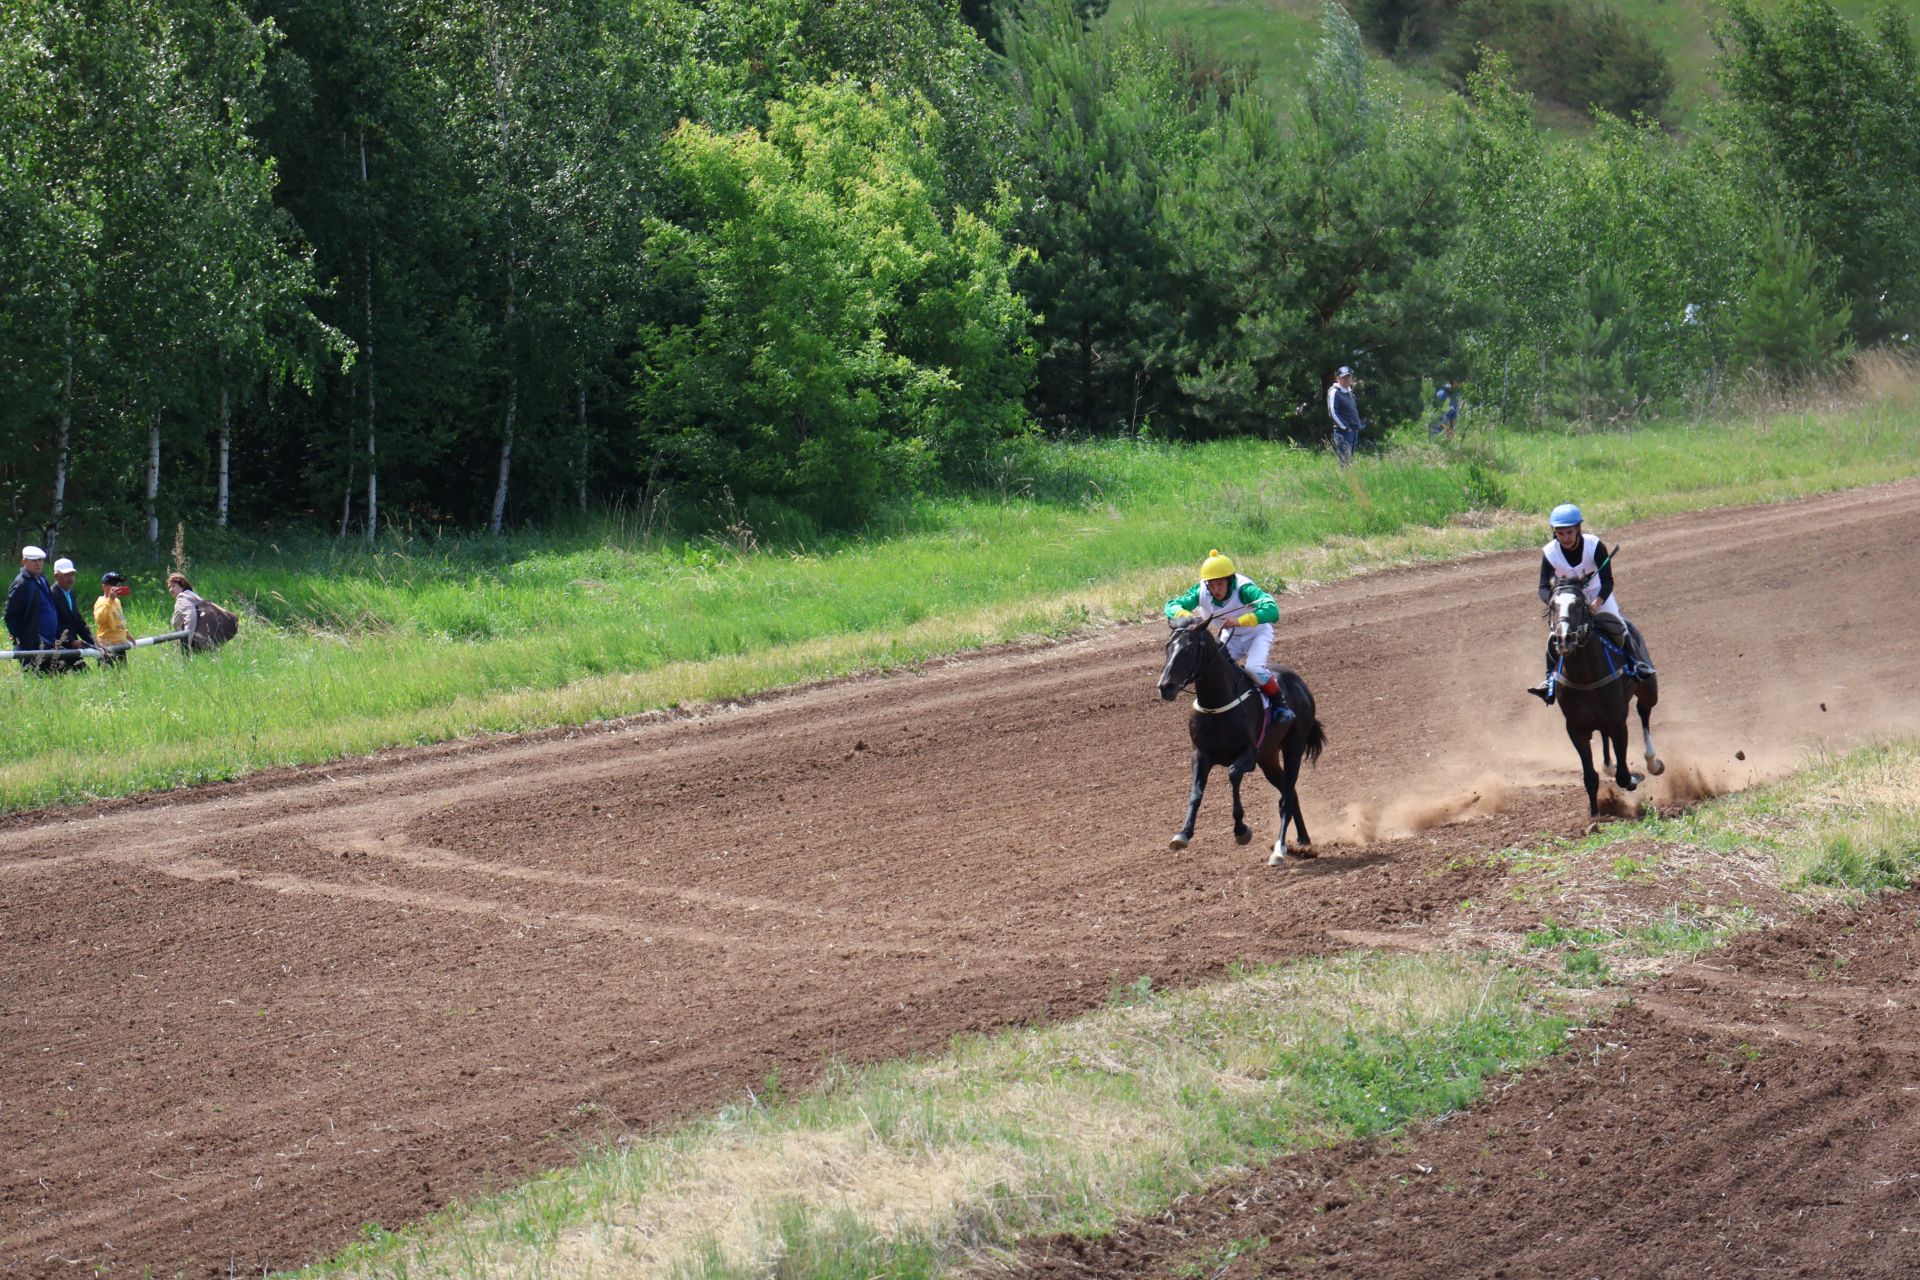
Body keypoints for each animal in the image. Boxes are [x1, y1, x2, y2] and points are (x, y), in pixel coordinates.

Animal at [1152, 617, 1320, 867]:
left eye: (1190, 648)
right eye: (1167, 647)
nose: (1166, 687)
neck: (1216, 702)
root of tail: (1300, 684)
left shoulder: (1248, 754)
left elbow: (1232, 774)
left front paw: (1241, 829)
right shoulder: (1201, 754)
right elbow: (1196, 793)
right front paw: (1183, 833)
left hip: (1293, 748)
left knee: (1287, 798)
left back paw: (1279, 850)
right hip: (1268, 757)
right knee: (1290, 792)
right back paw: (1303, 840)